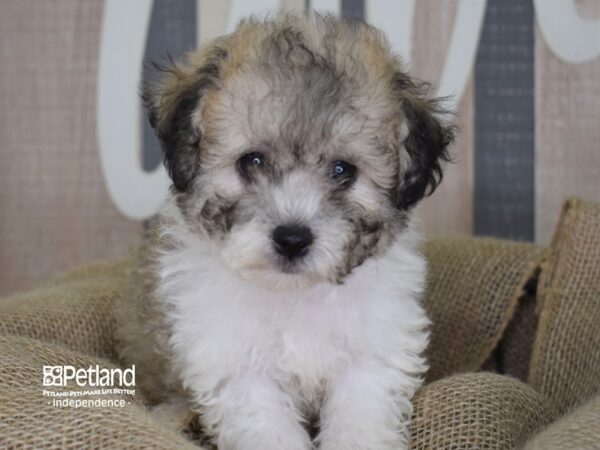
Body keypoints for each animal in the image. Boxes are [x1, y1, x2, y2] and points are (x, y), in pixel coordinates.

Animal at [117, 12, 452, 450]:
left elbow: (359, 417)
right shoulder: (238, 366)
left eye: (343, 170)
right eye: (251, 161)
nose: (292, 239)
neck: (294, 294)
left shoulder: (371, 357)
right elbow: (267, 427)